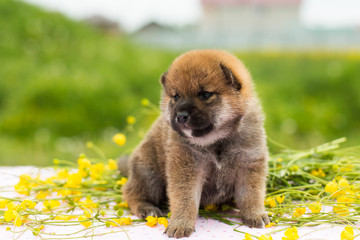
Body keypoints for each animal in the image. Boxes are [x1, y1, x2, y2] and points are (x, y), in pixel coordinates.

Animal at [121, 49, 270, 237]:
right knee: (131, 193)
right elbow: (186, 199)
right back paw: (147, 208)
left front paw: (255, 215)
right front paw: (180, 224)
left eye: (205, 94)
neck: (217, 141)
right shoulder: (187, 168)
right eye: (176, 96)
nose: (181, 116)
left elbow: (251, 194)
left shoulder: (249, 163)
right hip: (149, 174)